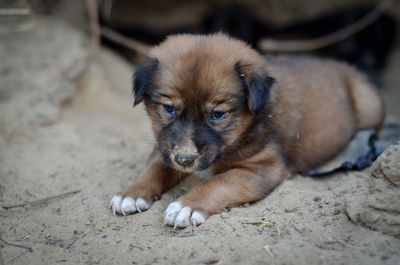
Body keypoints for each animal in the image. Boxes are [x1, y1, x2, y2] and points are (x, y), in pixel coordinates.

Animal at [108, 32, 382, 227]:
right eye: (169, 109)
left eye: (218, 114)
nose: (185, 160)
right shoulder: (164, 147)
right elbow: (153, 169)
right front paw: (131, 194)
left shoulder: (262, 168)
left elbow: (217, 182)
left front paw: (187, 205)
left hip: (370, 105)